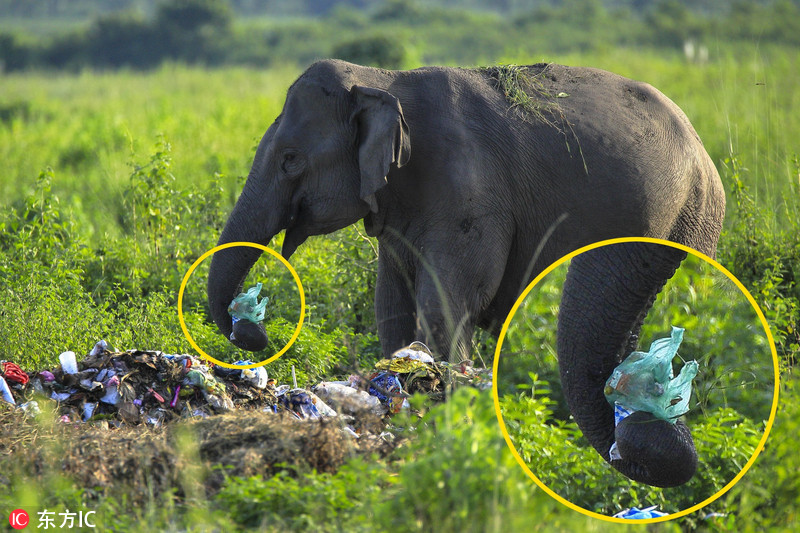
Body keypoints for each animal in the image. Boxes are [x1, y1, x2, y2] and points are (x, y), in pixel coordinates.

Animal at [206, 59, 724, 486]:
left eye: (291, 159)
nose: (252, 333)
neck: (380, 80)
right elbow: (392, 307)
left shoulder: (469, 197)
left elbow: (442, 306)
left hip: (685, 220)